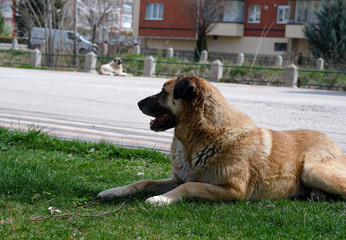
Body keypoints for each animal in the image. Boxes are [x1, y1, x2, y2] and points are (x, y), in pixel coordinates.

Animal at [97, 74, 346, 204]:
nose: (138, 103)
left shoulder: (233, 191)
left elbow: (189, 186)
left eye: (163, 92)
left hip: (314, 171)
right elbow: (143, 182)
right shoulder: (176, 178)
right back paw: (316, 194)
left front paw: (162, 199)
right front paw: (115, 191)